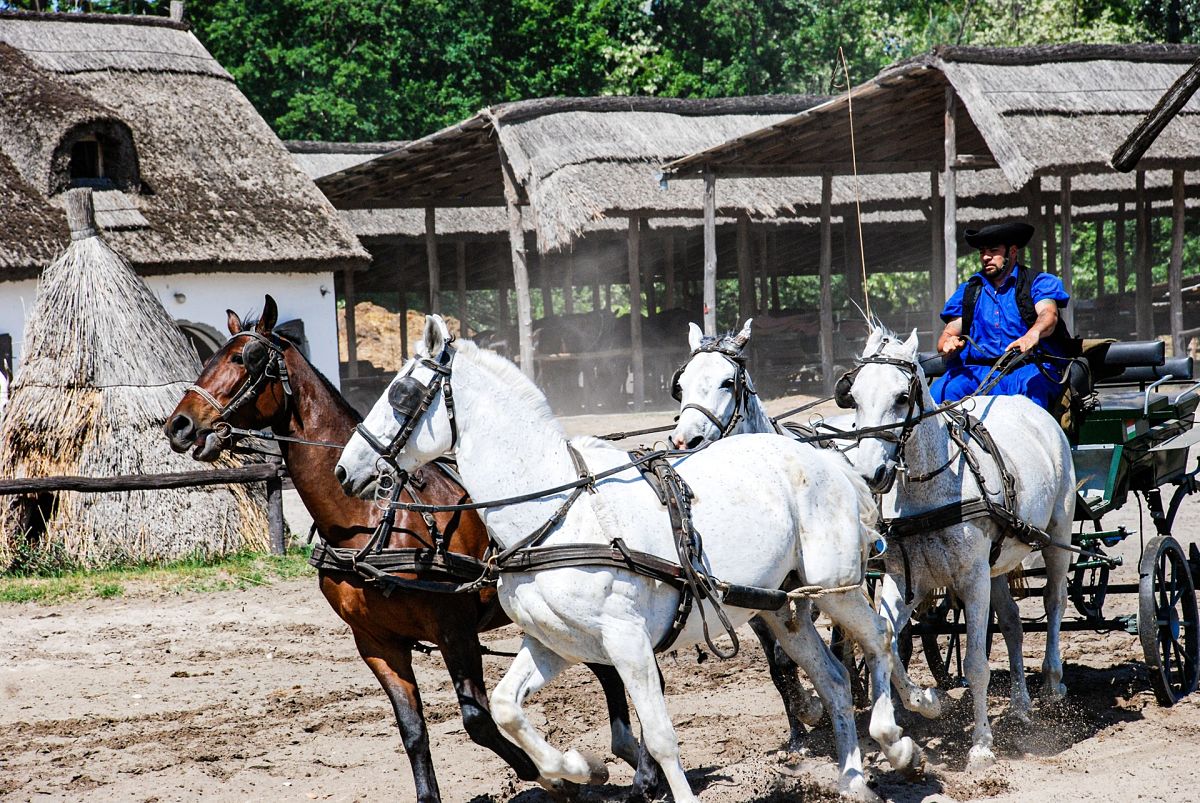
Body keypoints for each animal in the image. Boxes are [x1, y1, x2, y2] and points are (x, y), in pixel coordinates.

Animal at [162, 296, 657, 801]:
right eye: (209, 358)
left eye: (245, 359)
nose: (179, 425)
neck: (371, 520)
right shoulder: (376, 643)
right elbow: (413, 731)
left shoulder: (455, 630)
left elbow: (477, 721)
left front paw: (555, 777)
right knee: (608, 670)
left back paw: (644, 774)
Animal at [672, 316, 940, 715]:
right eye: (682, 383)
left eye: (727, 382)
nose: (684, 441)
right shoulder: (753, 601)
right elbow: (777, 662)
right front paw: (803, 714)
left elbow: (795, 650)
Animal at [840, 321, 1075, 768]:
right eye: (854, 396)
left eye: (902, 397)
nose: (869, 473)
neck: (930, 491)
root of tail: (1031, 409)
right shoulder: (907, 580)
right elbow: (887, 641)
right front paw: (925, 704)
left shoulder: (971, 579)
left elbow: (976, 663)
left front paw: (981, 745)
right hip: (996, 566)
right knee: (1014, 624)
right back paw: (1020, 706)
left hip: (1057, 535)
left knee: (1055, 601)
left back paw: (1054, 682)